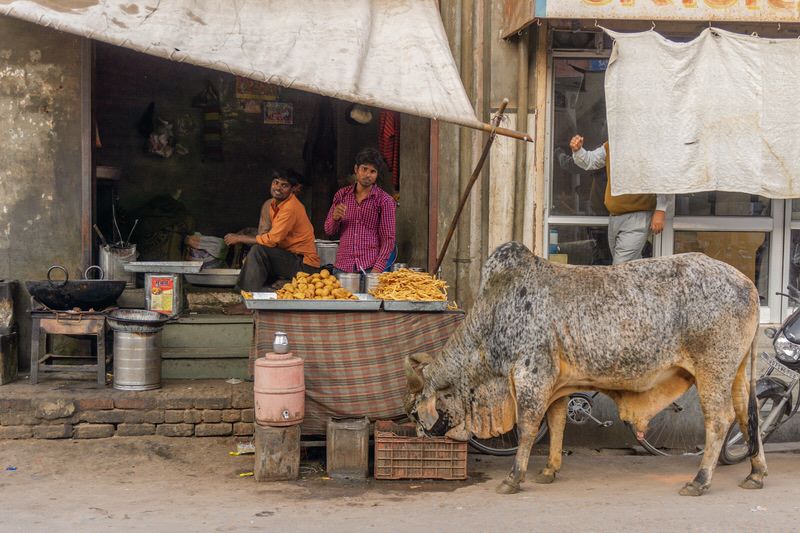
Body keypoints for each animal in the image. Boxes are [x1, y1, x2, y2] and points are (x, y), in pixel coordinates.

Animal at [410, 241, 764, 494]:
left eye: (415, 411)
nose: (419, 434)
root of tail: (748, 283)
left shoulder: (531, 376)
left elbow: (527, 428)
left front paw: (514, 478)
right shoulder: (557, 384)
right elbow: (556, 424)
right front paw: (549, 470)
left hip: (713, 370)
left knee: (720, 419)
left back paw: (700, 481)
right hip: (736, 372)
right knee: (747, 413)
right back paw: (756, 474)